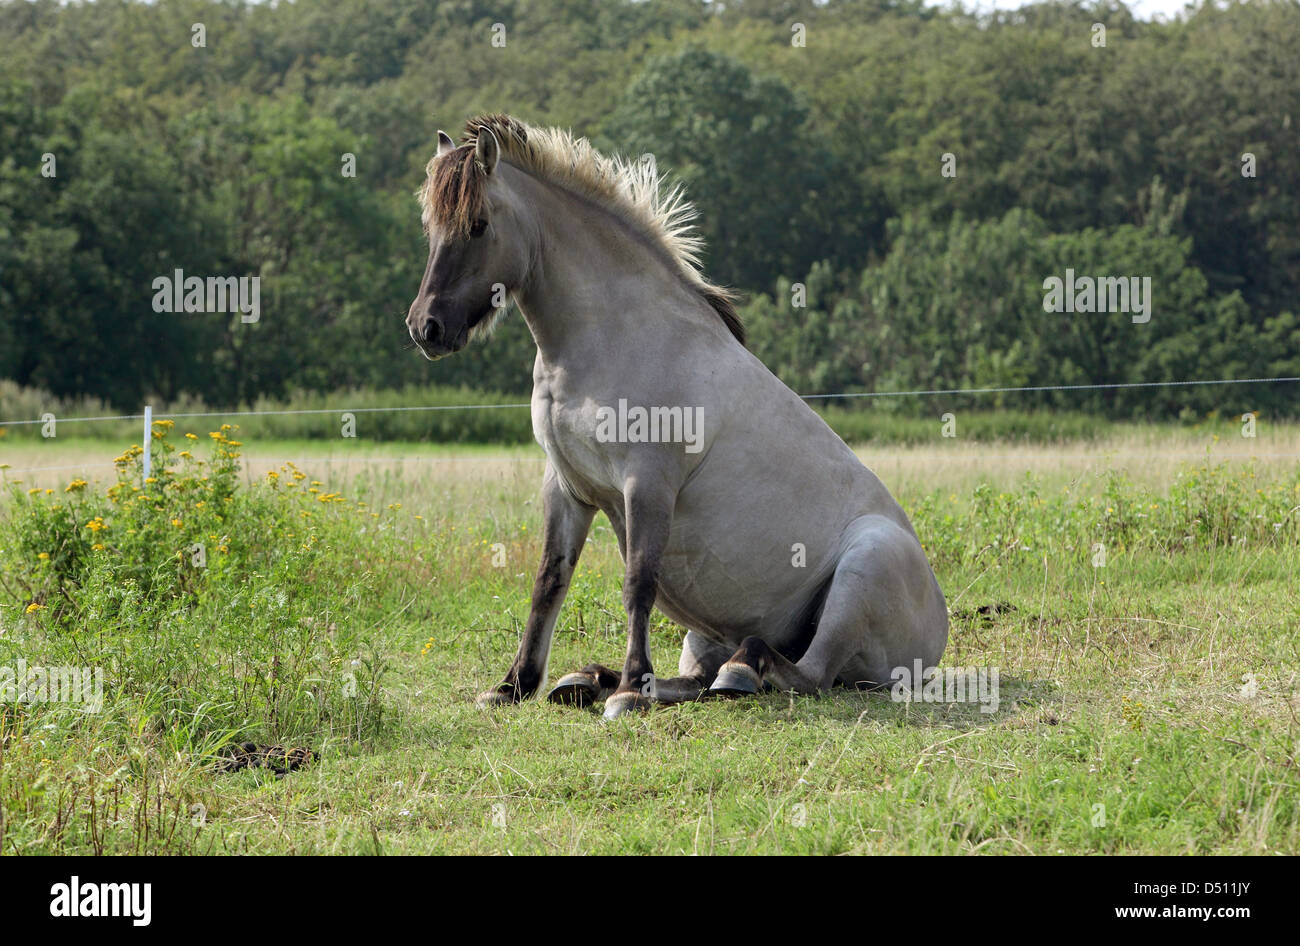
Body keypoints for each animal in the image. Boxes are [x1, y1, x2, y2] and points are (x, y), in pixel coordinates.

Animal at [405, 112, 946, 717]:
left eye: (478, 226)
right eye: (431, 226)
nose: (426, 327)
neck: (612, 337)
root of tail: (937, 634)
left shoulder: (648, 483)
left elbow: (638, 582)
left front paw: (625, 692)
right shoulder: (565, 487)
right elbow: (549, 580)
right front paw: (514, 686)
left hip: (862, 569)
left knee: (805, 674)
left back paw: (732, 671)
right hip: (704, 634)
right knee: (698, 682)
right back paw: (591, 680)